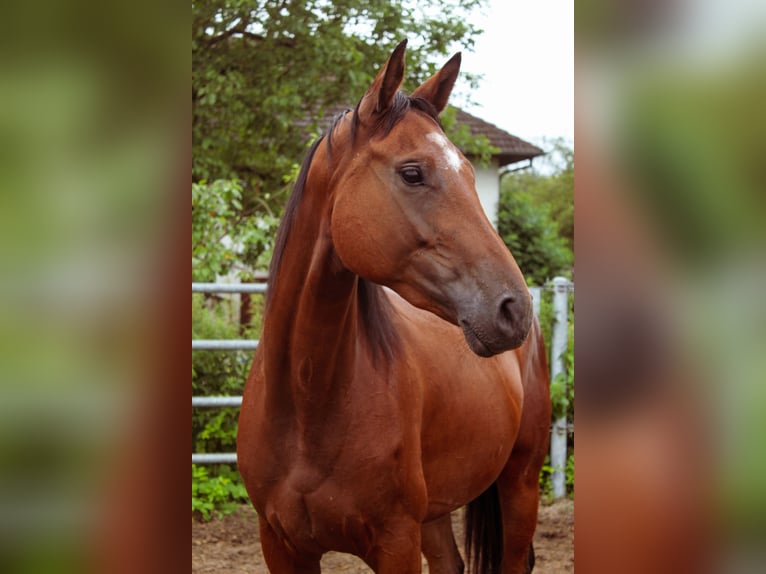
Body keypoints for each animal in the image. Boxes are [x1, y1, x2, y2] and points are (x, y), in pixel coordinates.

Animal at [238, 40, 552, 574]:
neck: (306, 405)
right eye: (412, 173)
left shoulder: (396, 542)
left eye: (471, 173)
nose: (515, 309)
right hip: (438, 511)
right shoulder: (279, 544)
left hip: (520, 484)